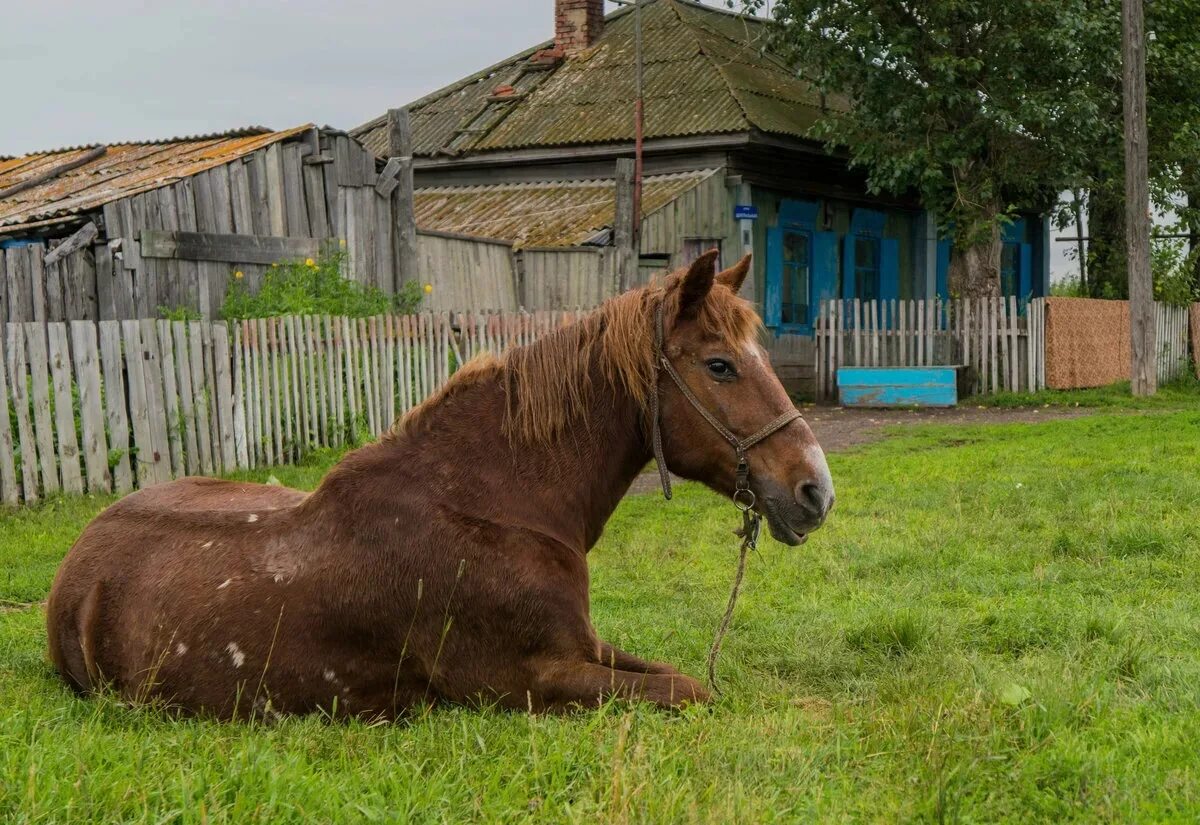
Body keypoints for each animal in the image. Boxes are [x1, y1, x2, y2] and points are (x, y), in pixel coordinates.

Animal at [46, 249, 835, 714]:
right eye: (720, 365)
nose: (815, 491)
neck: (492, 504)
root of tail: (77, 563)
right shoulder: (528, 679)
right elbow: (690, 688)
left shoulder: (584, 647)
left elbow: (674, 671)